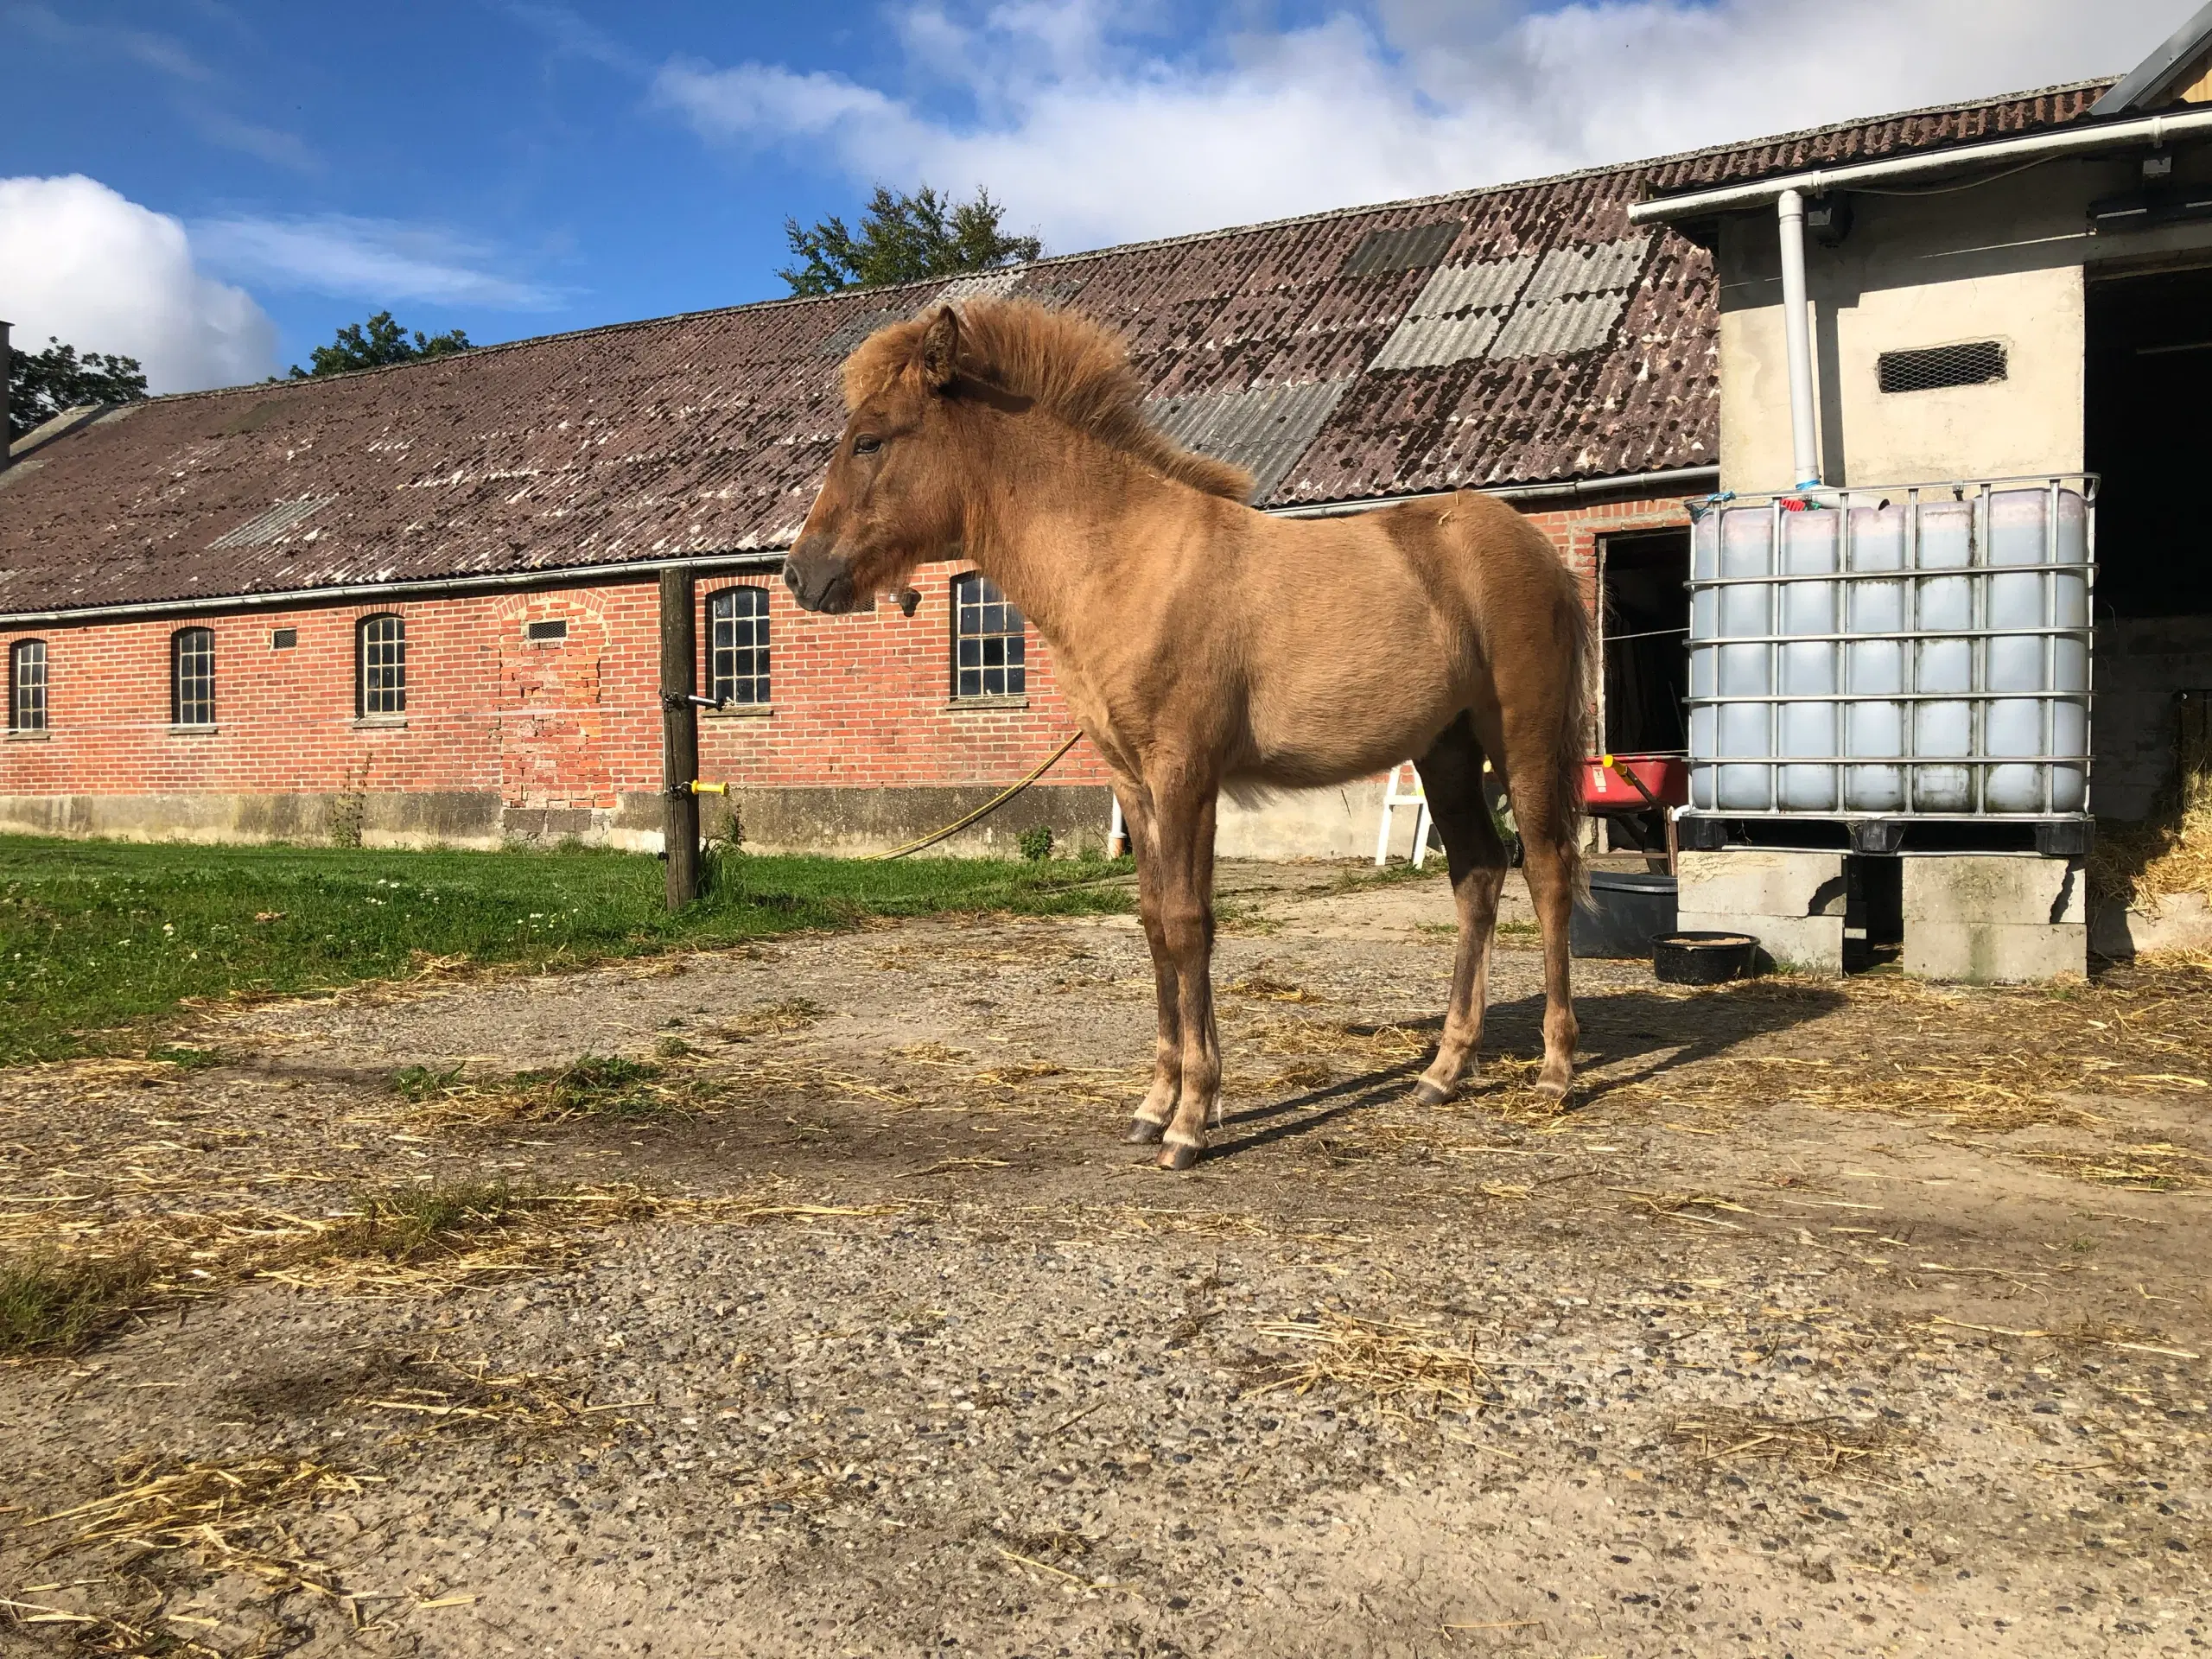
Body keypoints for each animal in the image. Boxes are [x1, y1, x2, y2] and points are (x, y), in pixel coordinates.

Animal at [787, 305, 1583, 1176]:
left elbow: (1189, 922)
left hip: (1522, 739)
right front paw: (1154, 1105)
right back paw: (1443, 1070)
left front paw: (1191, 1121)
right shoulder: (1135, 784)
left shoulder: (1186, 775)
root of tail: (1539, 552)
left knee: (1547, 873)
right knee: (1477, 874)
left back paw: (1556, 1072)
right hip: (1446, 750)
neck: (1124, 559)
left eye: (870, 440)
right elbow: (1153, 923)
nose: (800, 575)